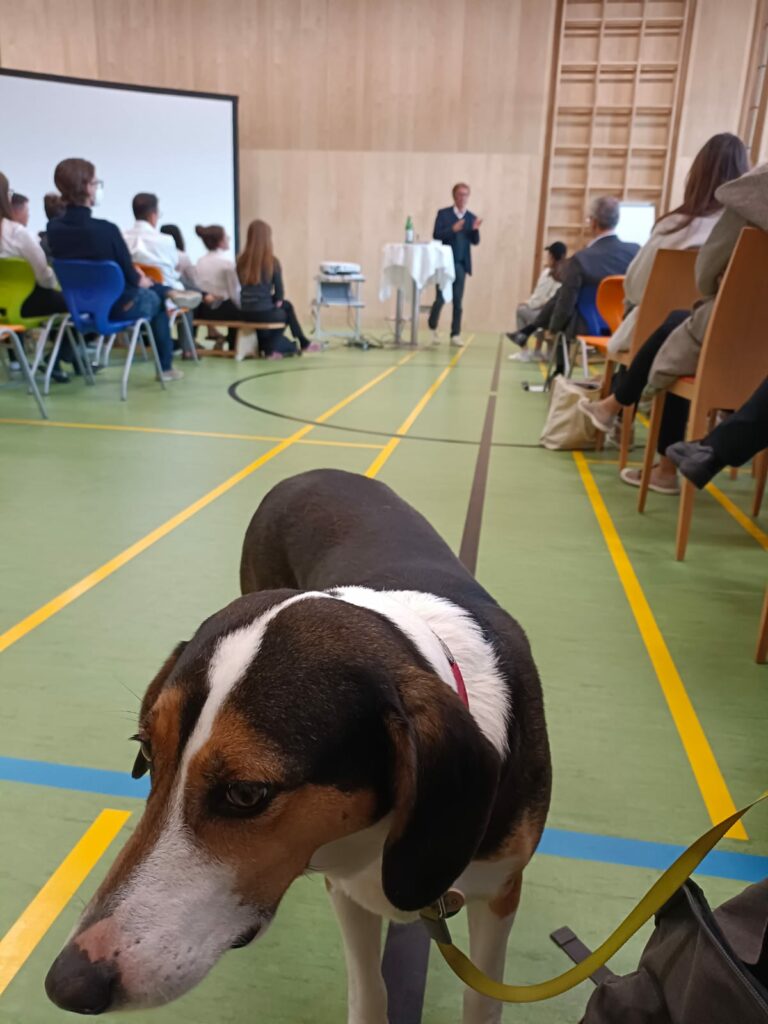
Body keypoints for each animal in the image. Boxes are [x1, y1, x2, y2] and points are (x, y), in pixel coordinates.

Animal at [46, 469, 551, 1023]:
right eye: (149, 752)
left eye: (247, 794)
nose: (69, 983)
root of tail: (312, 472)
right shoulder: (347, 892)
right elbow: (369, 991)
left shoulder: (500, 894)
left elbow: (481, 1000)